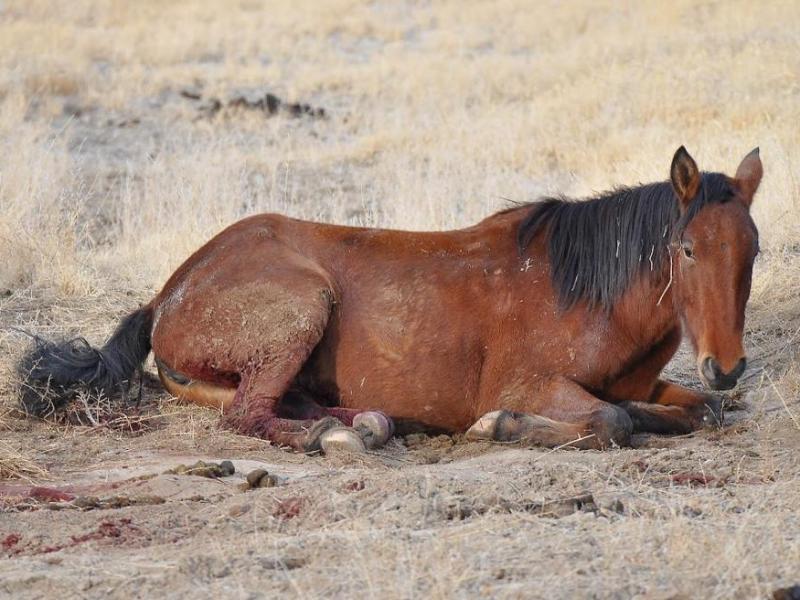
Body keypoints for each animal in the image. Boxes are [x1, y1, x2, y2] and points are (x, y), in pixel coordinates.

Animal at [18, 146, 763, 453]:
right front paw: (500, 427)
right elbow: (611, 422)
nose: (726, 365)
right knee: (248, 415)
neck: (588, 291)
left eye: (753, 249)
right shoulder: (527, 381)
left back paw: (370, 422)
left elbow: (697, 410)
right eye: (687, 249)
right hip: (304, 305)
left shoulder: (653, 385)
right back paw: (335, 435)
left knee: (267, 403)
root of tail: (169, 292)